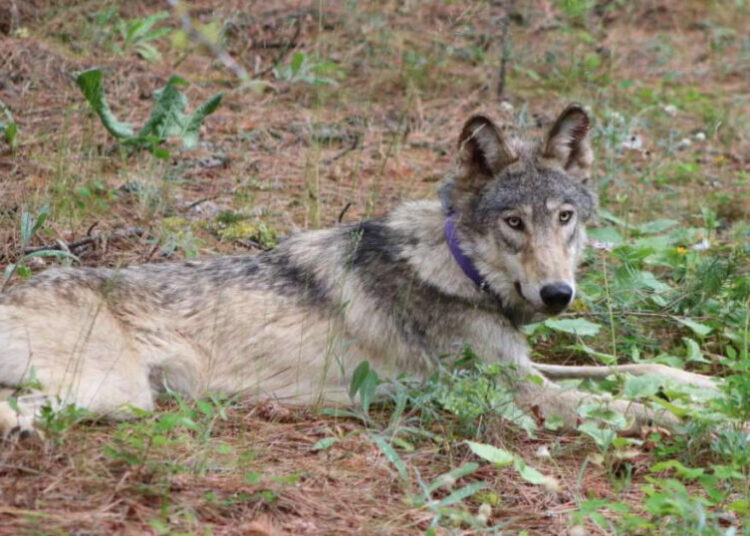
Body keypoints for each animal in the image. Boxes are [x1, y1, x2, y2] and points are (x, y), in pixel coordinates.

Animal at [0, 105, 718, 438]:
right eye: (515, 223)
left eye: (564, 217)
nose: (557, 294)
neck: (459, 270)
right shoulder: (517, 393)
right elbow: (632, 406)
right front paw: (724, 426)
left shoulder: (523, 368)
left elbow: (640, 369)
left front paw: (704, 385)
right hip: (117, 394)